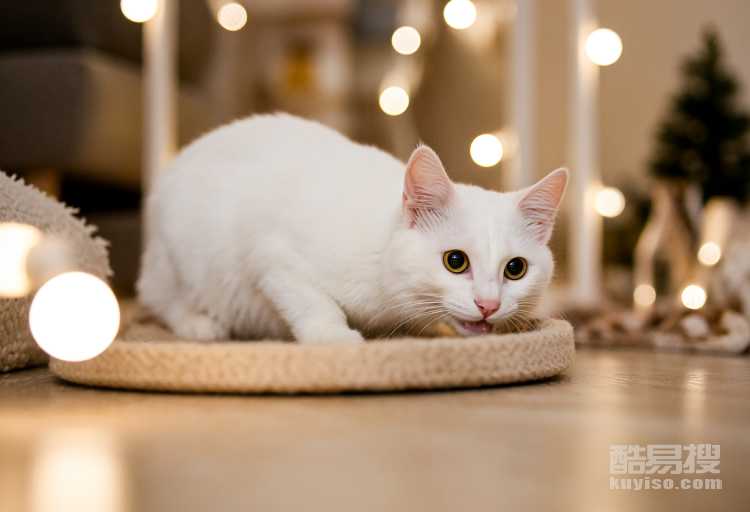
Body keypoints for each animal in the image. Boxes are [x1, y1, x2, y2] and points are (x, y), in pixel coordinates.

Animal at [137, 113, 568, 343]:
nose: (488, 305)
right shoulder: (272, 255)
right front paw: (334, 337)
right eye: (455, 261)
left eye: (516, 269)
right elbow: (313, 301)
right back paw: (198, 324)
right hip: (180, 254)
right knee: (158, 297)